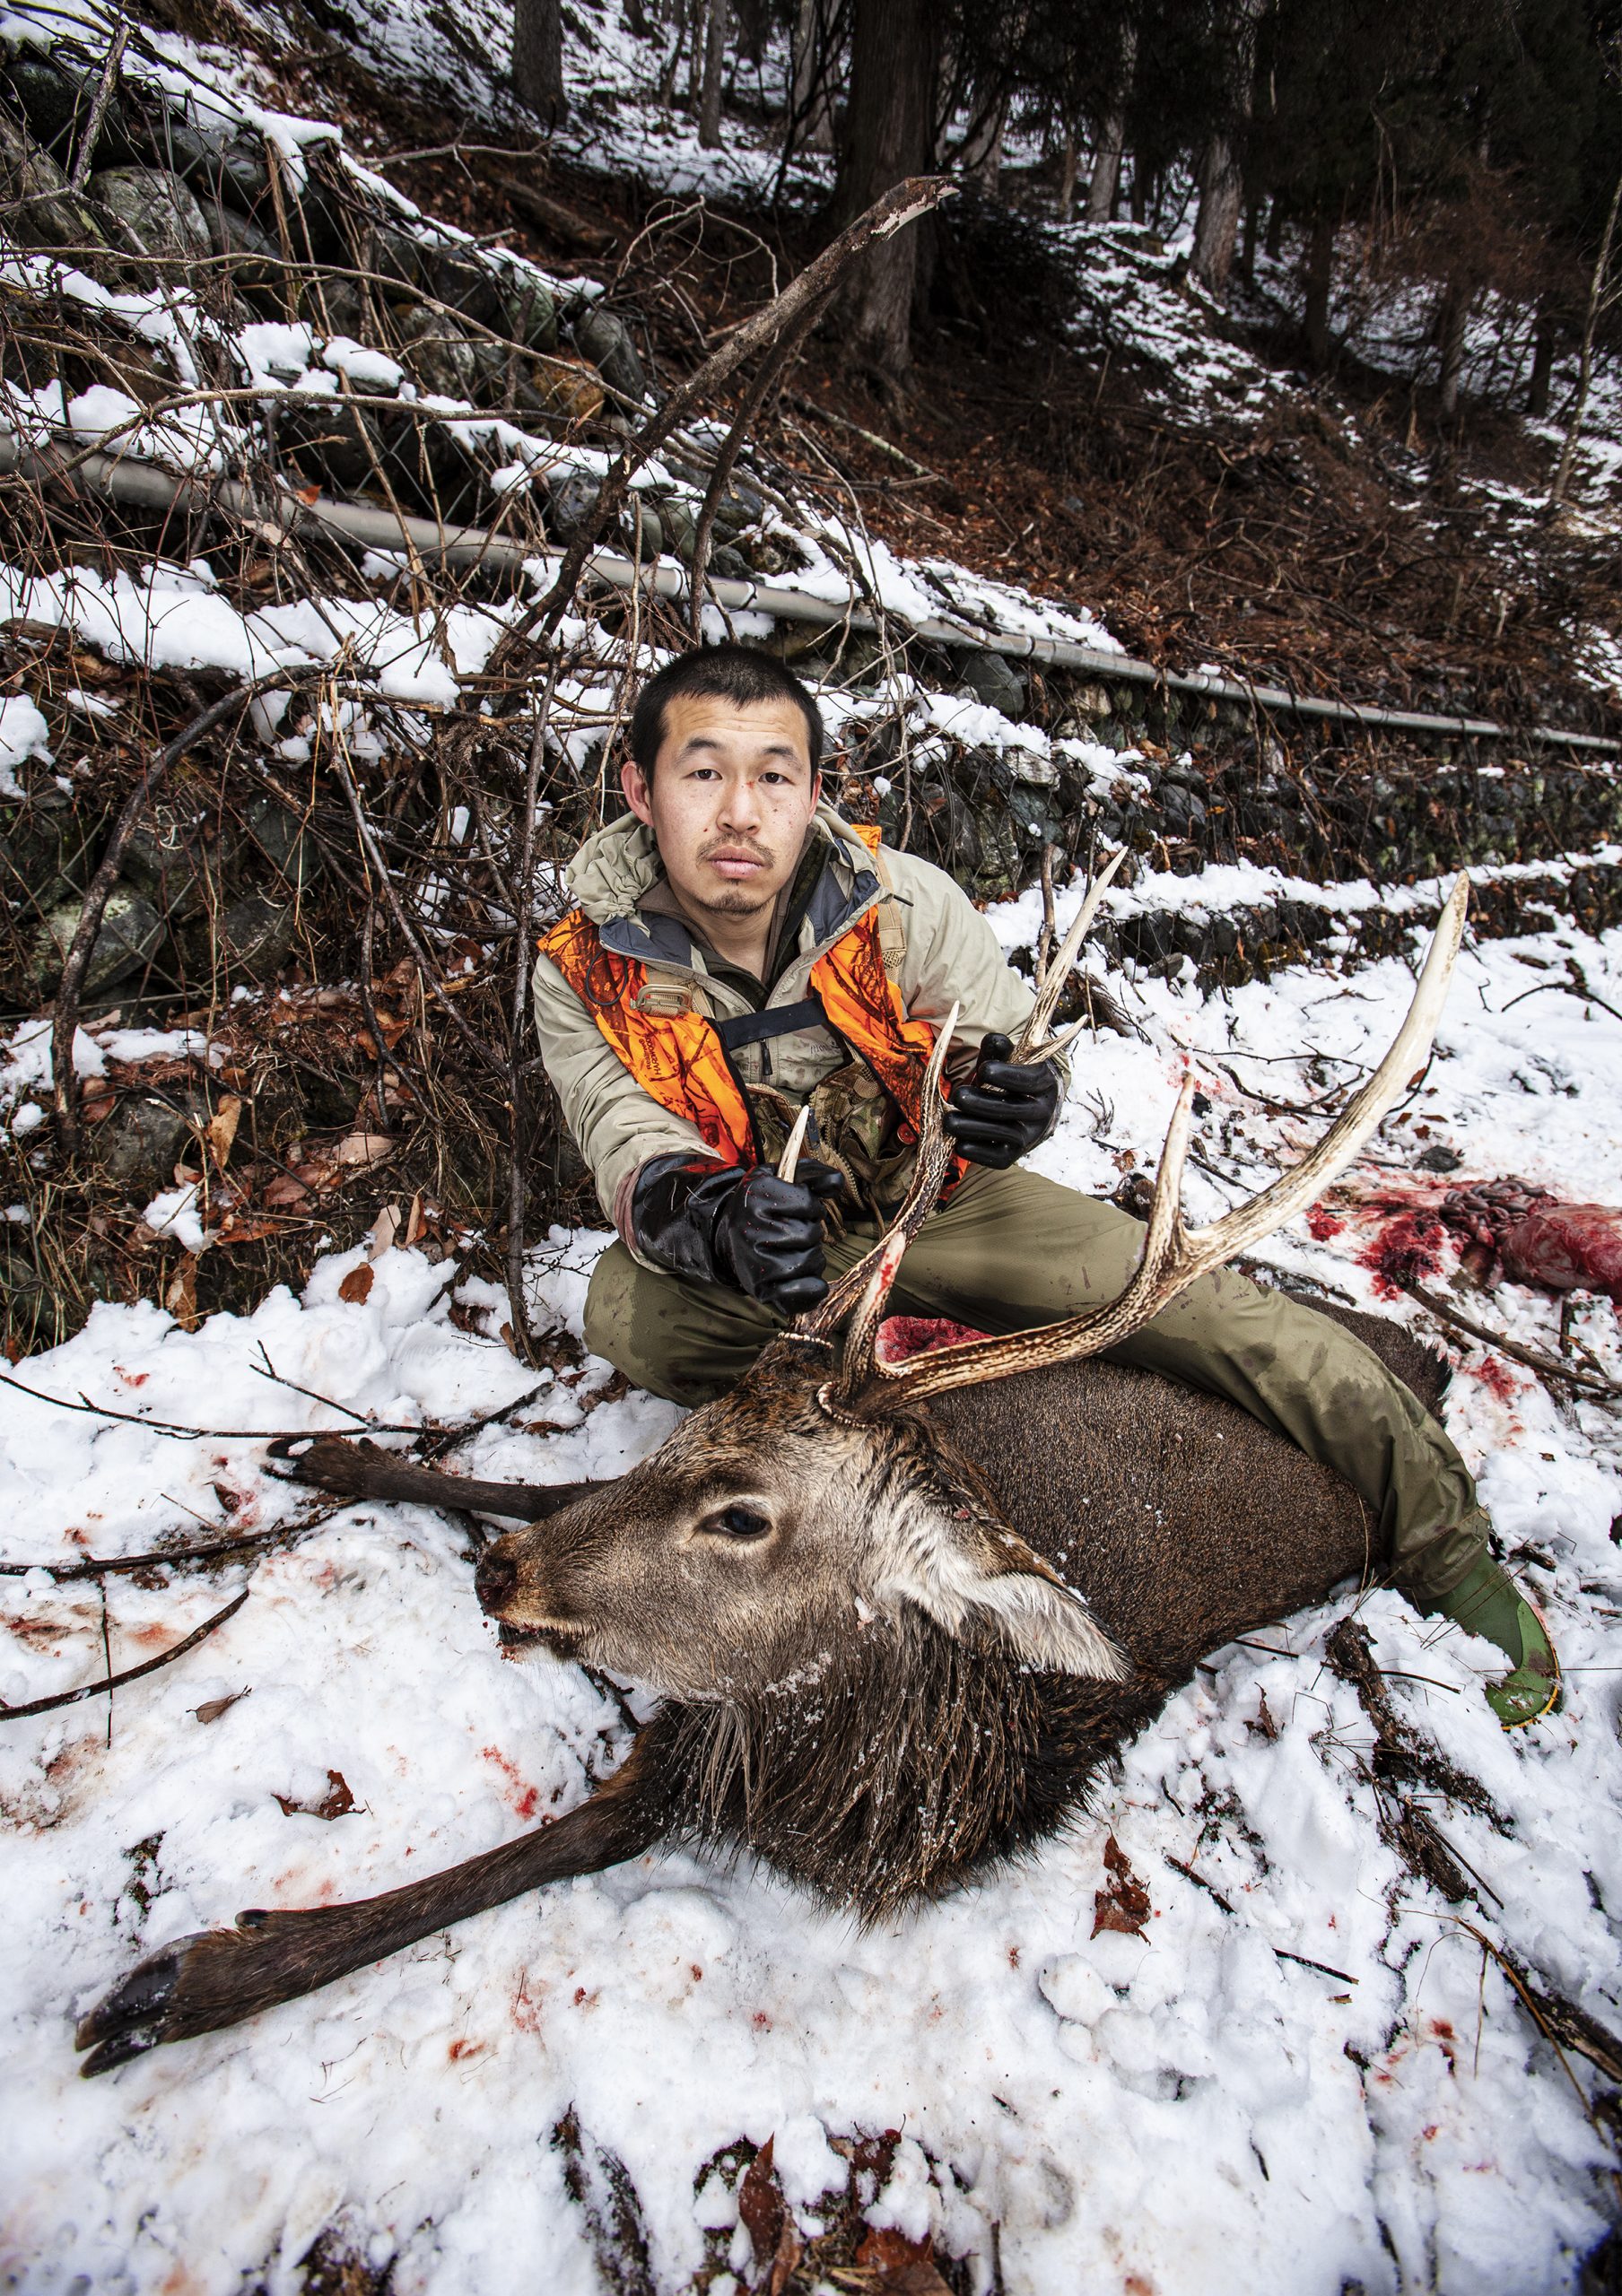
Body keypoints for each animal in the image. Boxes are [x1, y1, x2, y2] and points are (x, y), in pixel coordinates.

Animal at [72, 867, 1469, 2075]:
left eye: (745, 1519)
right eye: (701, 1442)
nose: (504, 1583)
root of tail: (1421, 1353)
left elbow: (576, 1835)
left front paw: (185, 1980)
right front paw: (344, 1455)